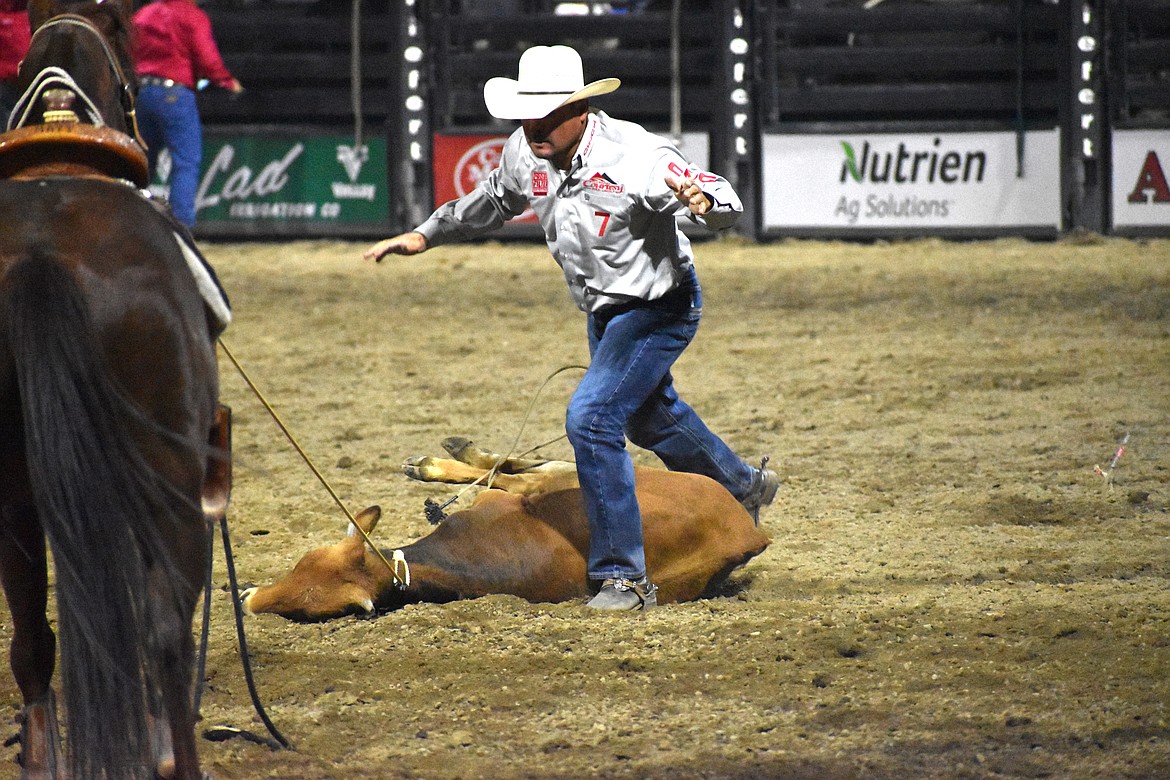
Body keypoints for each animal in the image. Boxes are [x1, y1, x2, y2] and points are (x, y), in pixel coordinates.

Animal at [238, 439, 772, 622]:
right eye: (299, 563)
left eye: (303, 611)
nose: (245, 598)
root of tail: (750, 534)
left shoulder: (497, 502)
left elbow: (501, 480)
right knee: (528, 465)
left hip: (565, 481)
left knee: (524, 472)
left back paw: (439, 462)